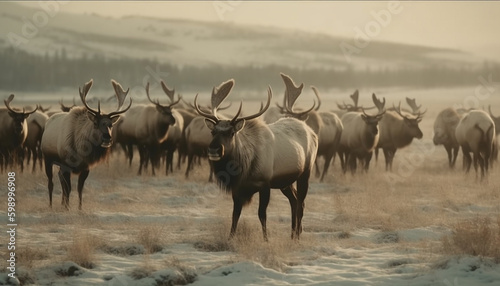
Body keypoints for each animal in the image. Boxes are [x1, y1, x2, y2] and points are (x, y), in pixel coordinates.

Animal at [41, 79, 131, 209]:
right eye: (96, 123)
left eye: (110, 125)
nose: (107, 138)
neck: (80, 150)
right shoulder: (66, 164)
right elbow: (68, 188)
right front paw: (67, 208)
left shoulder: (85, 167)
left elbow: (79, 189)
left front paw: (79, 208)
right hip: (47, 158)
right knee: (51, 183)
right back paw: (51, 205)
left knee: (60, 178)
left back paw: (61, 203)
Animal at [194, 78, 316, 239]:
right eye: (213, 132)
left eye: (231, 133)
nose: (214, 149)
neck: (244, 168)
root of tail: (311, 131)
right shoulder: (238, 188)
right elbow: (235, 214)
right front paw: (230, 237)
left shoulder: (265, 184)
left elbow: (262, 214)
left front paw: (266, 239)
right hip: (285, 181)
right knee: (294, 200)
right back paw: (293, 233)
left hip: (305, 172)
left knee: (301, 202)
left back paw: (297, 235)